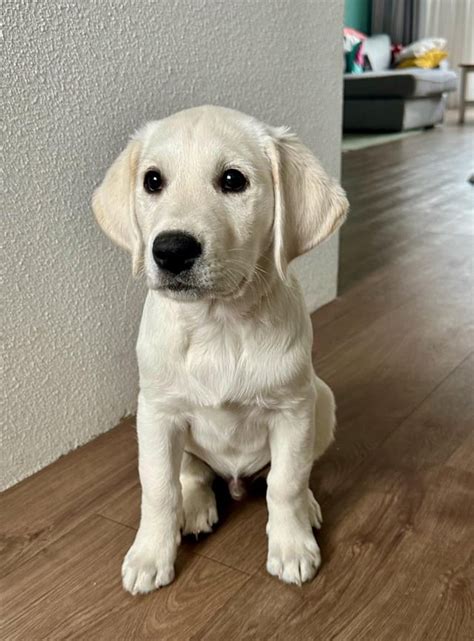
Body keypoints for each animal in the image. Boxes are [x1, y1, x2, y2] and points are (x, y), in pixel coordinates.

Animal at [93, 102, 348, 592]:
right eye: (152, 181)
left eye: (233, 180)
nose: (171, 250)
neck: (219, 324)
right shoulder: (157, 413)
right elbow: (159, 488)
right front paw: (150, 554)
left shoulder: (293, 411)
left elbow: (286, 482)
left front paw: (291, 546)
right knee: (191, 472)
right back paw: (195, 507)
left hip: (321, 399)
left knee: (292, 473)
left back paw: (306, 507)